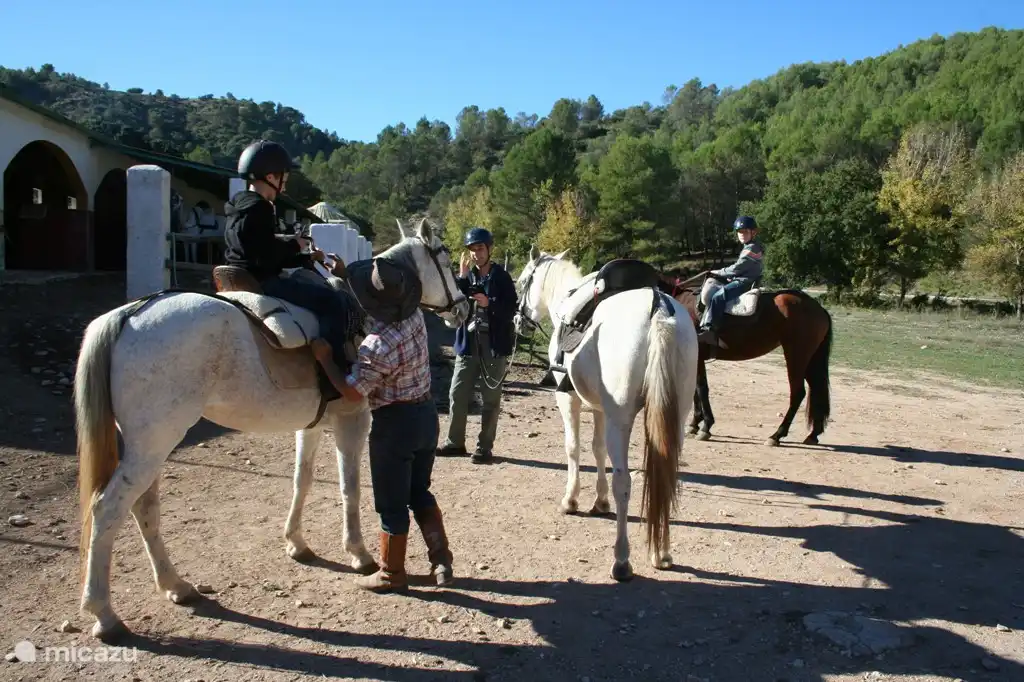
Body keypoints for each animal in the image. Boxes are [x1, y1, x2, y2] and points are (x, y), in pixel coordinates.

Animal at [73, 217, 469, 641]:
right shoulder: (352, 421)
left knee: (144, 507)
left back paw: (175, 586)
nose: (463, 308)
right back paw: (104, 613)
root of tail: (129, 314)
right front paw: (359, 553)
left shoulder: (312, 425)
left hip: (149, 446)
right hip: (153, 445)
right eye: (446, 259)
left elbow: (302, 480)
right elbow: (350, 487)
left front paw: (296, 543)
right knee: (108, 509)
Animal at [514, 248, 698, 581]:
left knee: (623, 482)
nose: (518, 321)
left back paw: (622, 559)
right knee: (666, 476)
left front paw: (571, 500)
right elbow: (597, 449)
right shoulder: (599, 407)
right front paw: (599, 501)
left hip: (620, 419)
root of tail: (658, 311)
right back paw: (662, 553)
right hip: (674, 419)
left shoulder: (568, 399)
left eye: (522, 282)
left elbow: (574, 448)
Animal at [660, 272, 833, 447]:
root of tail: (819, 308)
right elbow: (696, 390)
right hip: (810, 359)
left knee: (798, 392)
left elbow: (701, 389)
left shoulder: (698, 356)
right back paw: (813, 435)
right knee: (817, 389)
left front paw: (706, 427)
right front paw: (694, 424)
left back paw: (776, 435)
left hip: (796, 355)